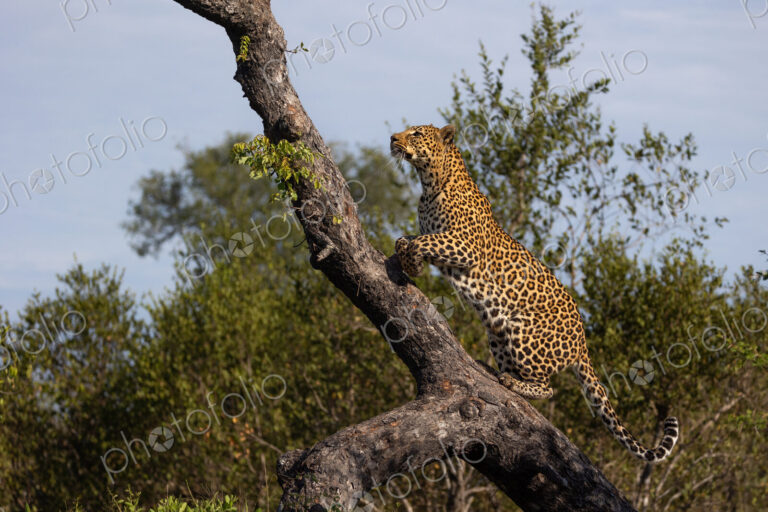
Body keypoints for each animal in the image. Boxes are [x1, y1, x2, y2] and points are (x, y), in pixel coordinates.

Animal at [390, 123, 679, 462]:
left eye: (416, 133)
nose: (393, 139)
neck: (430, 183)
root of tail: (583, 343)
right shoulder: (437, 237)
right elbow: (405, 238)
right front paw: (408, 260)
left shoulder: (465, 246)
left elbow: (421, 242)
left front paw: (412, 264)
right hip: (497, 332)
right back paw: (497, 372)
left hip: (523, 331)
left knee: (548, 387)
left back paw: (514, 383)